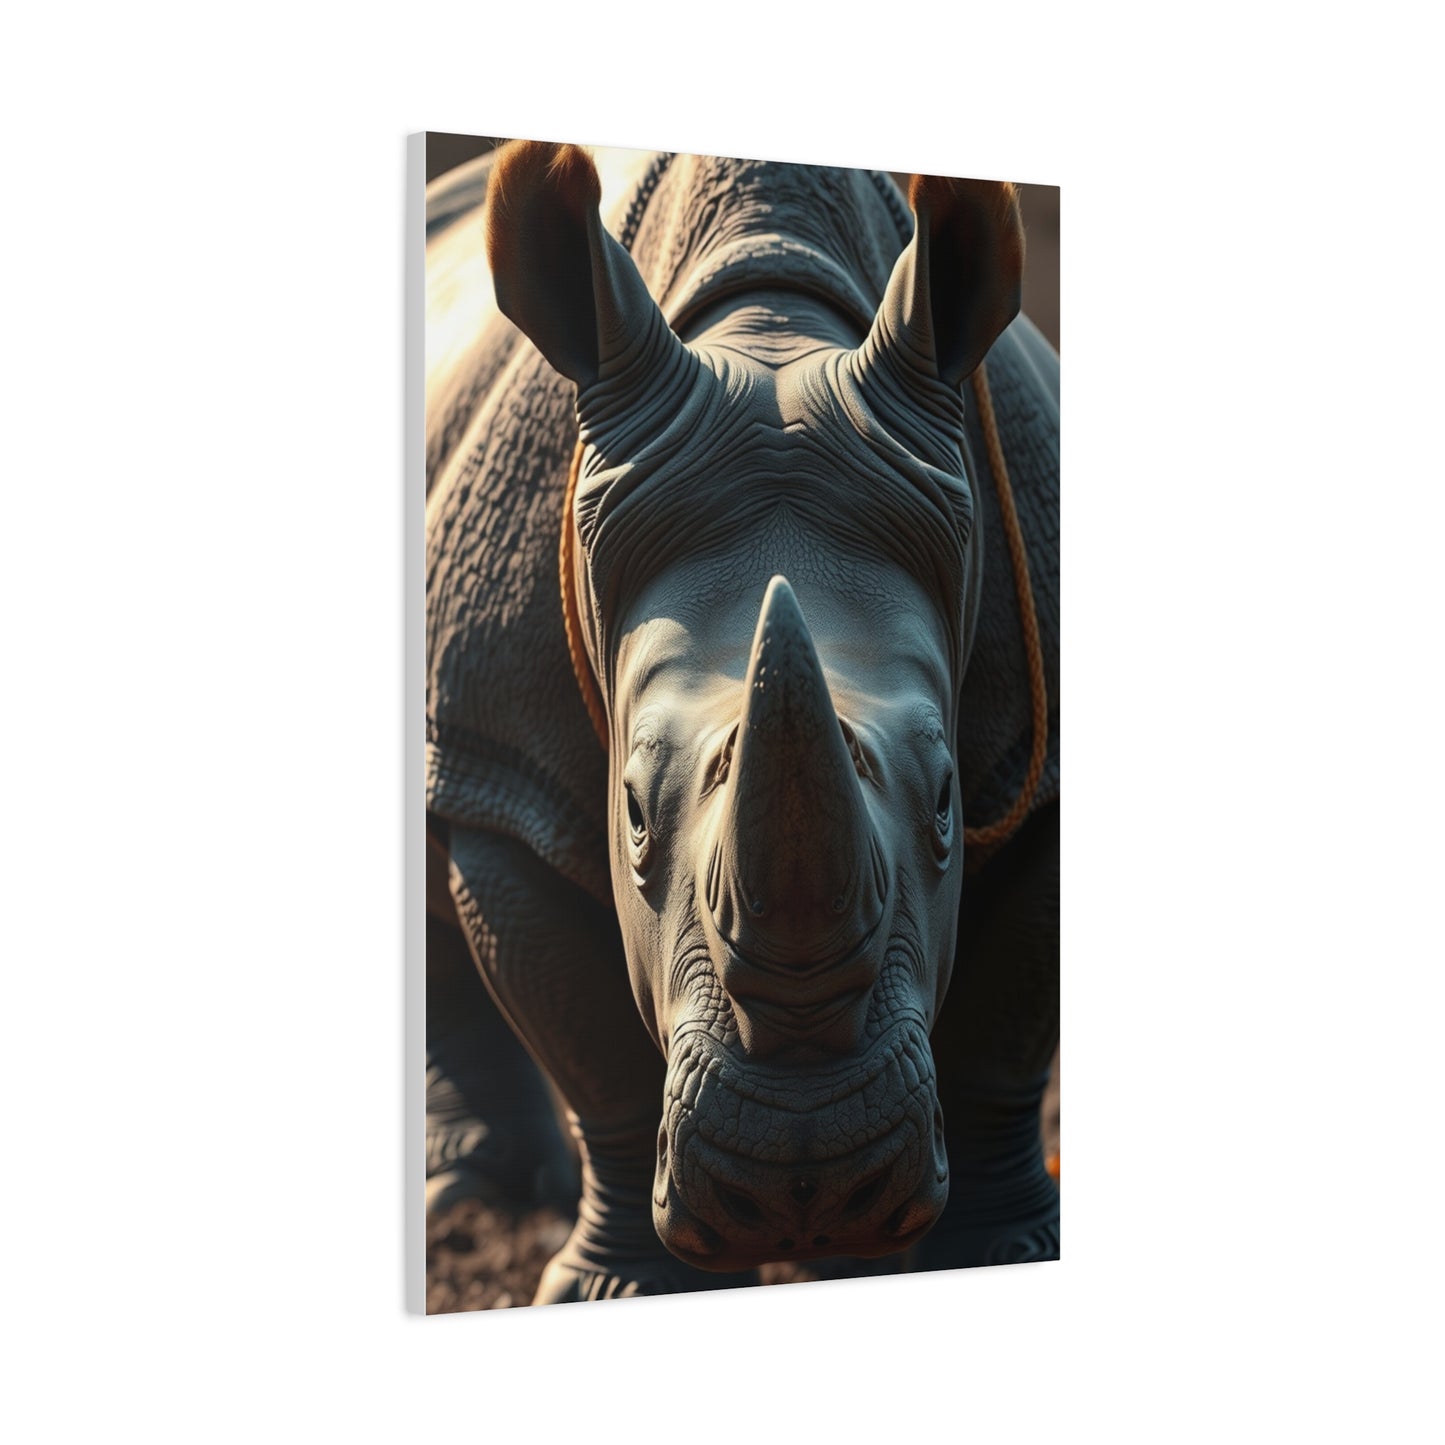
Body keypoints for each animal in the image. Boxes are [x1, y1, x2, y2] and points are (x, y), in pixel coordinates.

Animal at [425, 140, 1059, 1303]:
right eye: (631, 809)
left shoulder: (1031, 767)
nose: (806, 1185)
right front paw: (614, 1291)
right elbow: (592, 1050)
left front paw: (1002, 1254)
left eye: (948, 799)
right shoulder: (505, 763)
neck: (768, 327)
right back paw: (471, 1200)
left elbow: (1008, 1022)